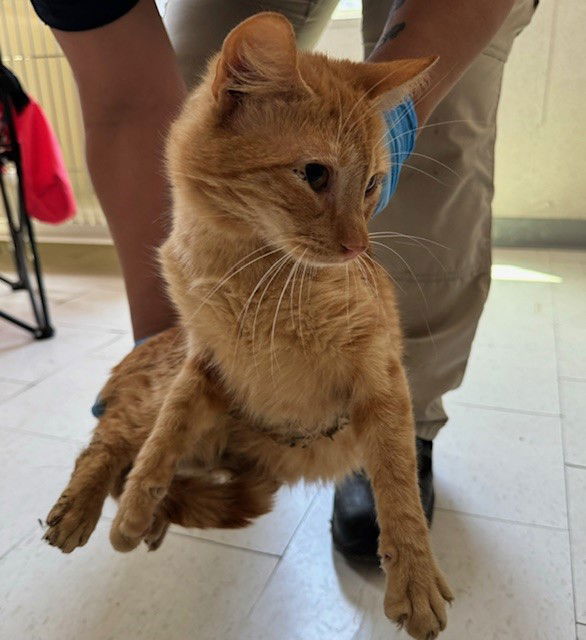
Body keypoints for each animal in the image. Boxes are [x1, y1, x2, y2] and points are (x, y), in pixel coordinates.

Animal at [43, 12, 450, 636]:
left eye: (372, 184)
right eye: (314, 173)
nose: (359, 247)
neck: (250, 275)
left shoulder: (380, 376)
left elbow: (398, 481)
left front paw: (415, 572)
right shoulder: (199, 363)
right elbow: (162, 436)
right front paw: (135, 505)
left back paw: (160, 514)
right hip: (150, 401)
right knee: (108, 445)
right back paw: (88, 509)